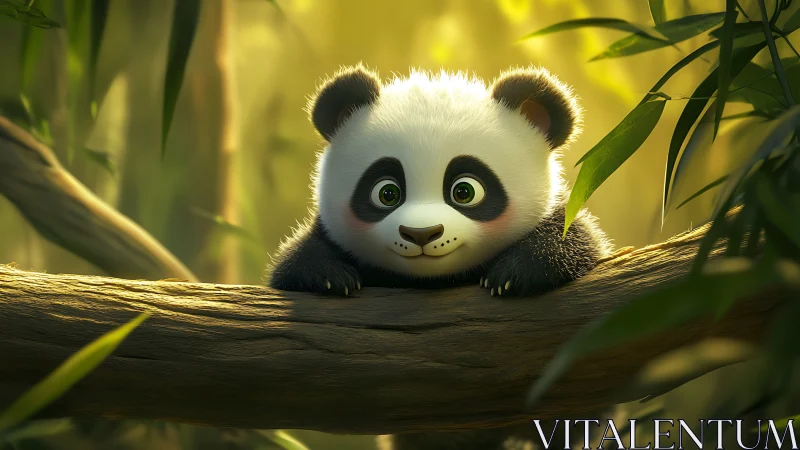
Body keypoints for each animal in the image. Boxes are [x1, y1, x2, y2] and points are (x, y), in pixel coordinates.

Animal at [267, 64, 613, 449]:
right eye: (387, 193)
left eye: (464, 191)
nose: (421, 234)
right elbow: (295, 264)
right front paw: (331, 278)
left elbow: (574, 242)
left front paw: (513, 276)